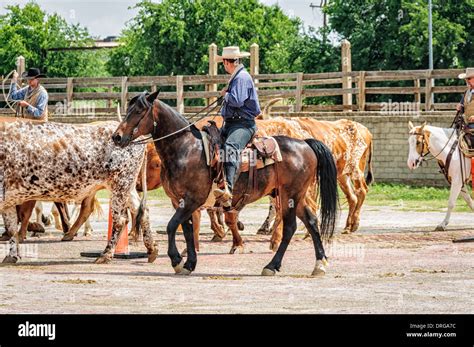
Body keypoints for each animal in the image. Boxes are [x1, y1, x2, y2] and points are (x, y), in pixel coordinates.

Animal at [0, 117, 157, 264]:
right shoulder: (7, 201)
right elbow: (11, 228)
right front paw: (11, 255)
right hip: (126, 187)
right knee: (141, 211)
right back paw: (152, 250)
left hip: (120, 184)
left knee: (120, 220)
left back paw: (105, 254)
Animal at [113, 92, 338, 278]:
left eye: (139, 111)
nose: (117, 137)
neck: (185, 148)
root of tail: (305, 143)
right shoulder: (180, 201)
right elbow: (186, 230)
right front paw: (189, 263)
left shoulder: (192, 199)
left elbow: (171, 226)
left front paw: (177, 261)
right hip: (294, 196)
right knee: (312, 221)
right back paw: (319, 265)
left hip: (289, 195)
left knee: (291, 227)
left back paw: (271, 266)